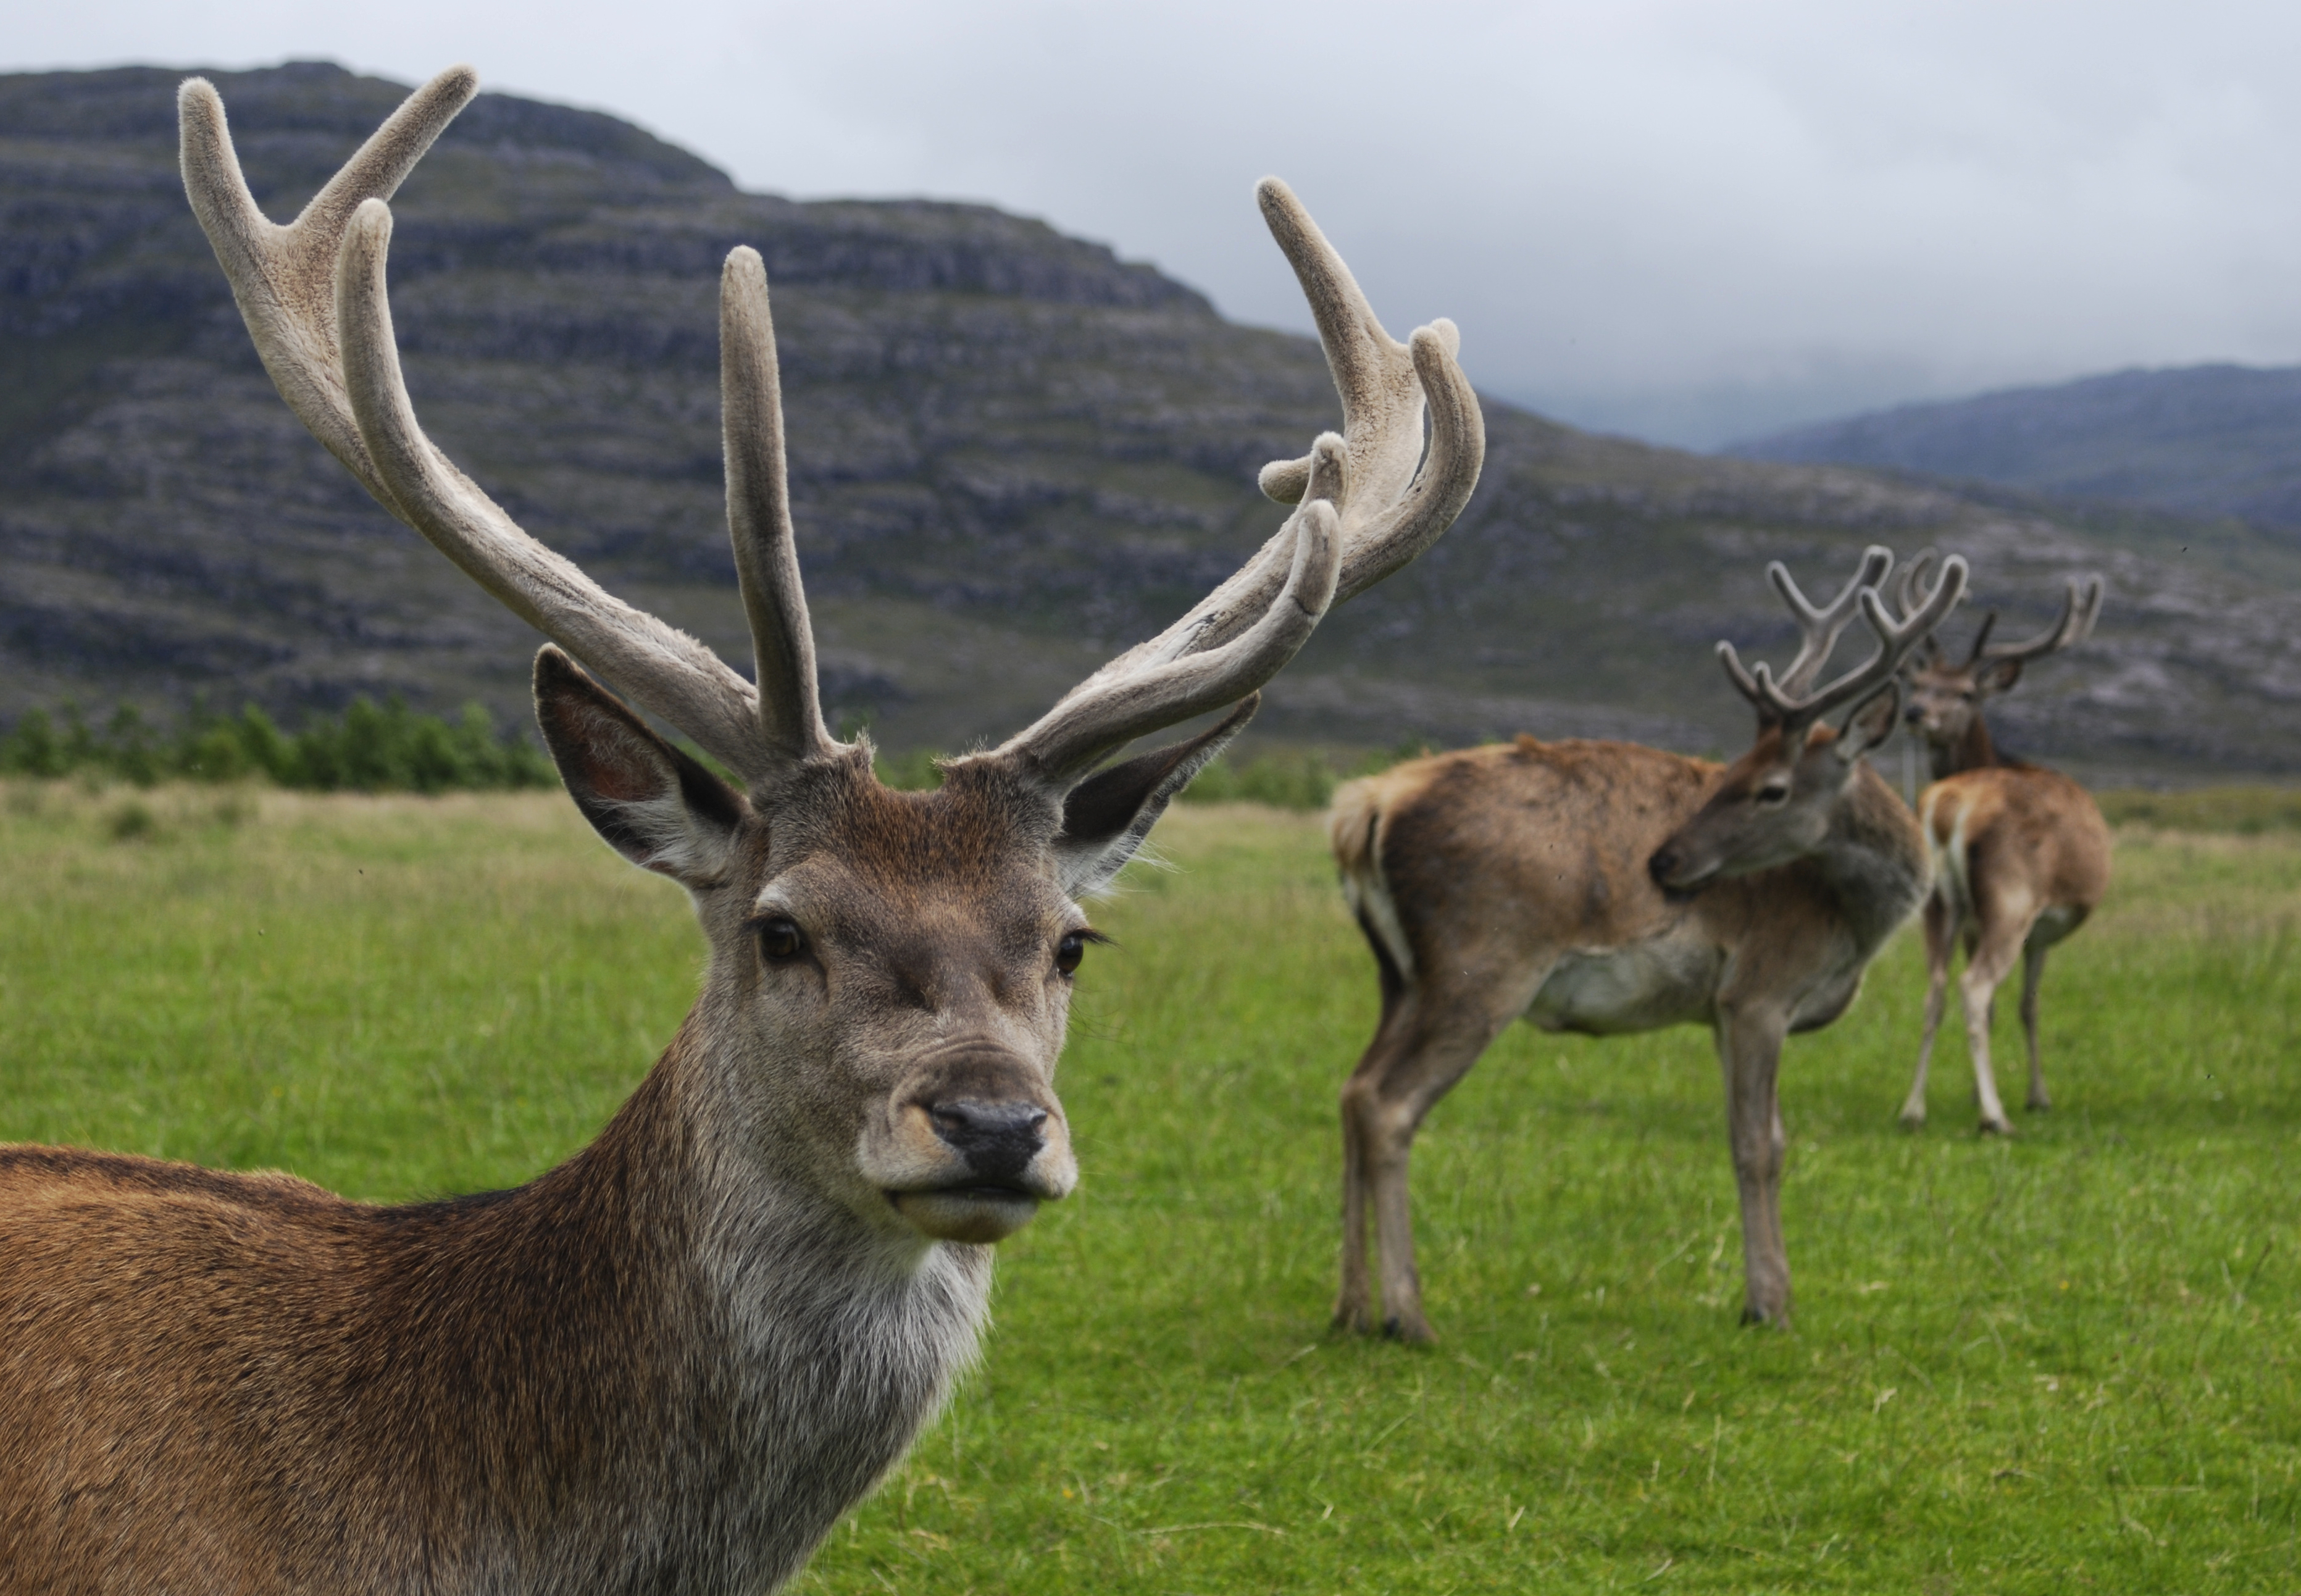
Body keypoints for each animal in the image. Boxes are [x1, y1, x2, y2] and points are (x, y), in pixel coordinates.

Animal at [1334, 549, 1960, 1334]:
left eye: (1769, 786)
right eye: (1731, 772)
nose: (1663, 861)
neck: (1849, 923)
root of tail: (1364, 808)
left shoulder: (1722, 1010)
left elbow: (1767, 1135)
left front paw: (1771, 1293)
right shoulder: (1759, 988)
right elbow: (1757, 1144)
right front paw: (1768, 1303)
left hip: (1398, 974)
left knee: (1352, 1088)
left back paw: (1350, 1308)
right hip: (1480, 963)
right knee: (1388, 1103)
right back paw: (1407, 1314)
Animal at [1896, 563, 2107, 1136]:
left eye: (1967, 691)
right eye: (1920, 684)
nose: (1915, 711)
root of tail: (1950, 807)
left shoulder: (1974, 921)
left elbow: (2001, 1010)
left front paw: (1973, 1090)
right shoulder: (2040, 927)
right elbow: (2027, 1007)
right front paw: (2036, 1095)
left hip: (1938, 904)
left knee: (1934, 989)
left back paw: (1912, 1108)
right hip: (2011, 897)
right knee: (1973, 987)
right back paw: (1995, 1117)